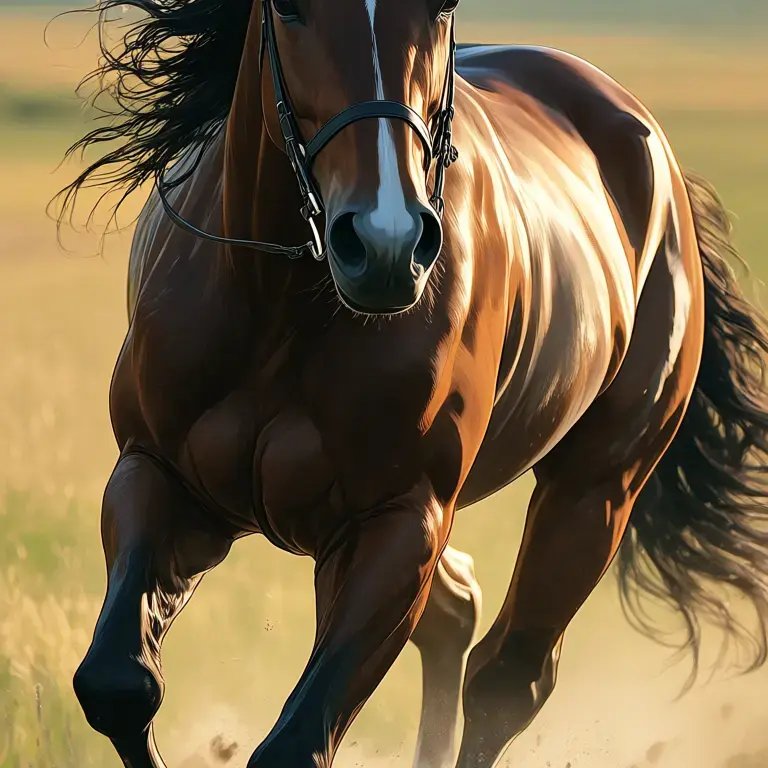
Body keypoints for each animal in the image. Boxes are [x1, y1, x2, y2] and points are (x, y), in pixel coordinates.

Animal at [57, 0, 768, 766]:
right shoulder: (159, 478)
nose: (385, 245)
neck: (280, 312)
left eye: (442, 8)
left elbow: (297, 741)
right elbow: (117, 682)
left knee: (507, 680)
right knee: (457, 615)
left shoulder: (400, 523)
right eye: (289, 9)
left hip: (597, 492)